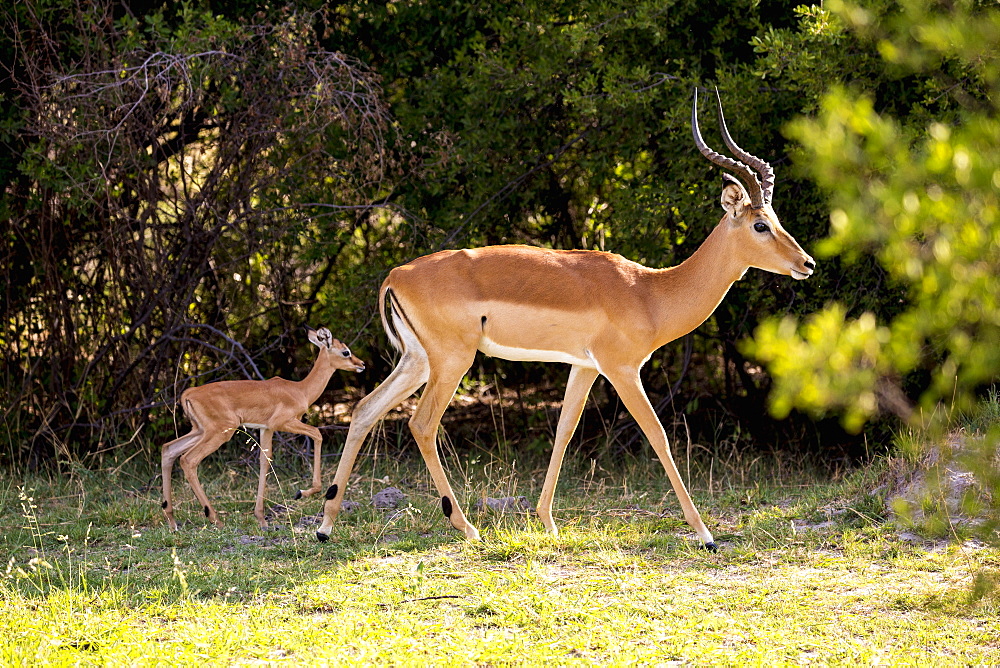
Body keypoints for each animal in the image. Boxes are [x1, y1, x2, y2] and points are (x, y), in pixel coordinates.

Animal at [162, 326, 366, 528]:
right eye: (346, 351)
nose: (362, 364)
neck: (301, 390)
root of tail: (188, 393)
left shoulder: (266, 428)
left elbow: (264, 460)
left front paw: (260, 517)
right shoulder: (283, 423)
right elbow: (317, 433)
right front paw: (302, 492)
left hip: (199, 431)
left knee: (168, 449)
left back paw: (172, 520)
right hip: (219, 432)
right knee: (188, 459)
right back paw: (215, 519)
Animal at [316, 88, 816, 548]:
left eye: (775, 217)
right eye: (759, 224)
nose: (807, 263)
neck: (649, 292)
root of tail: (396, 275)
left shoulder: (584, 367)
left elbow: (564, 430)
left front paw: (548, 522)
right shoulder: (622, 369)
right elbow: (658, 435)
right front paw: (705, 534)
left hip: (418, 361)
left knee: (364, 410)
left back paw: (325, 526)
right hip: (453, 361)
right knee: (421, 424)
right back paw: (467, 528)